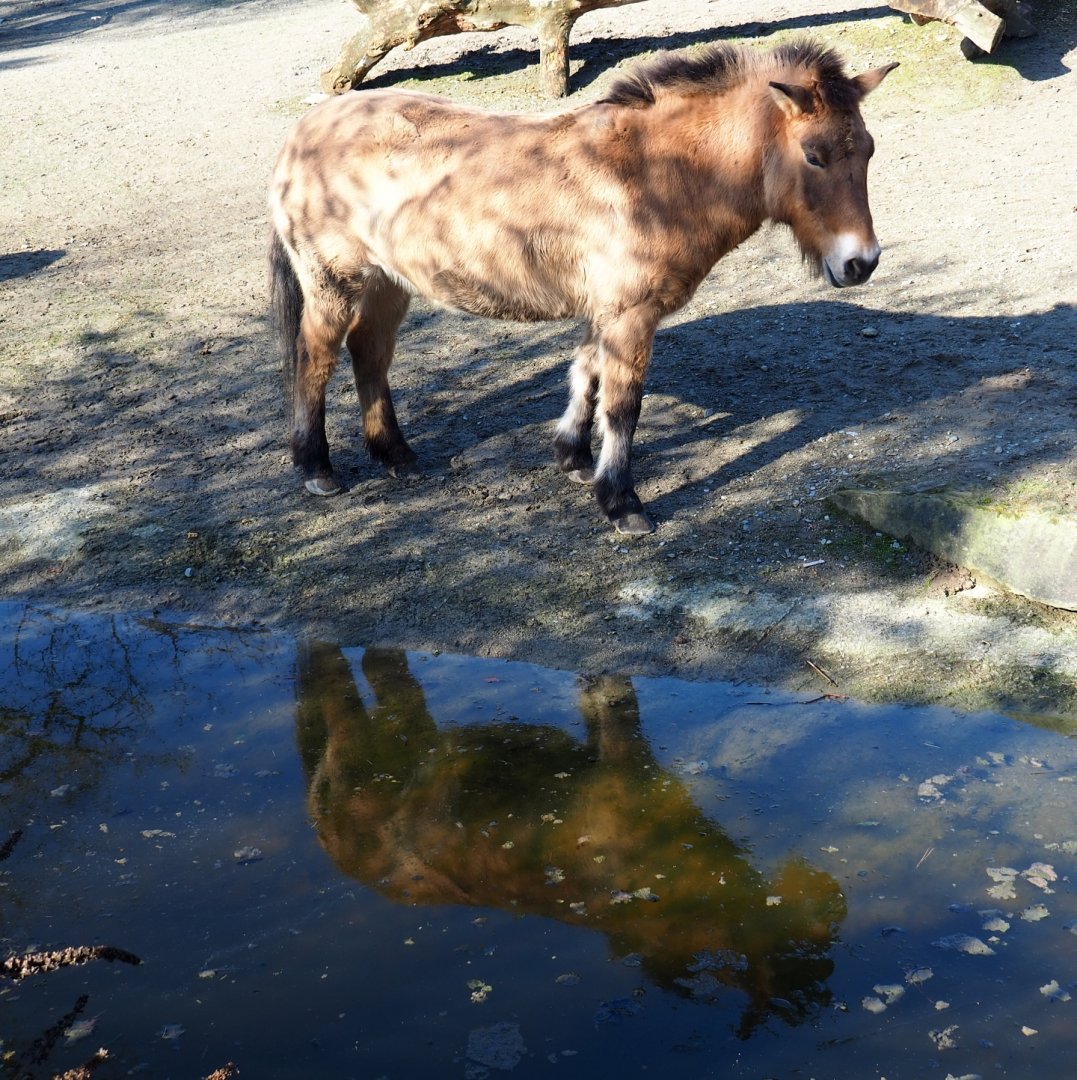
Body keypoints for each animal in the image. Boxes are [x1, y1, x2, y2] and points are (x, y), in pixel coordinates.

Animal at [268, 39, 897, 534]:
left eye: (868, 150)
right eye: (814, 156)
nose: (860, 263)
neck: (656, 173)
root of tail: (302, 133)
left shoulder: (608, 311)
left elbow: (586, 374)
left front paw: (571, 456)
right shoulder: (630, 315)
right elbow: (622, 406)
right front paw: (621, 502)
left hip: (388, 284)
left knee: (369, 355)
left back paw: (396, 455)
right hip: (335, 283)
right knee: (316, 357)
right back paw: (317, 468)